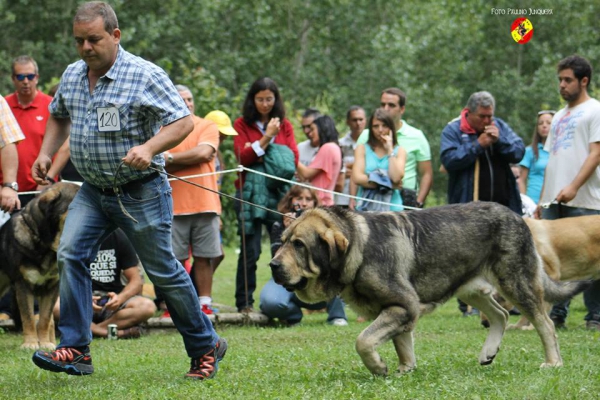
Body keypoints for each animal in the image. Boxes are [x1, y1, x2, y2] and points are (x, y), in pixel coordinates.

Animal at [0, 183, 79, 348]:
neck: (44, 244)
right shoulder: (23, 285)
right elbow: (28, 318)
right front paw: (30, 343)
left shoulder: (52, 288)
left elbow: (44, 320)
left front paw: (45, 343)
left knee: (50, 321)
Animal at [270, 203, 592, 376]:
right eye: (282, 241)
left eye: (299, 245)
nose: (273, 265)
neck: (357, 248)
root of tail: (518, 217)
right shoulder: (400, 310)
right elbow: (402, 344)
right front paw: (405, 369)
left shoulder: (403, 305)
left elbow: (363, 340)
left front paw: (379, 367)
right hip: (470, 287)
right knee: (500, 315)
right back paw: (488, 352)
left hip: (516, 282)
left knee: (545, 323)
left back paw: (553, 362)